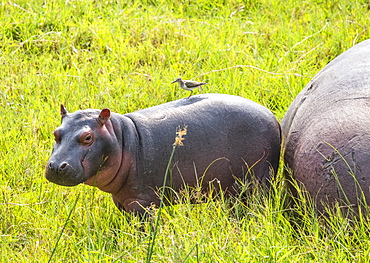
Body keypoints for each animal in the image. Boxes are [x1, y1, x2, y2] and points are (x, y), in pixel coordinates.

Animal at [45, 94, 280, 213]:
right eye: (56, 133)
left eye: (87, 137)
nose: (56, 166)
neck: (121, 138)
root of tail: (272, 117)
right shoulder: (121, 199)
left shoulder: (141, 202)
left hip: (258, 183)